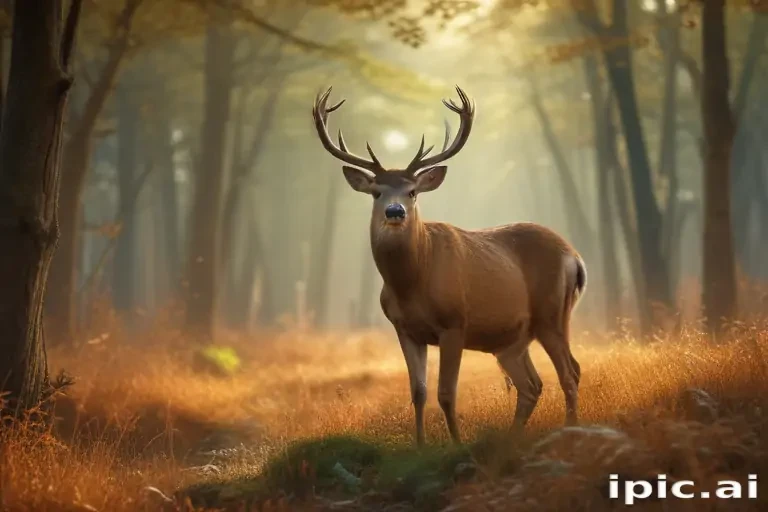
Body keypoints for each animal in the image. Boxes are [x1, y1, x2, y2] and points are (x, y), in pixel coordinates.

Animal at [311, 85, 587, 446]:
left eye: (413, 191)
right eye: (376, 192)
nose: (395, 212)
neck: (413, 281)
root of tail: (575, 256)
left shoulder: (454, 322)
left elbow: (446, 393)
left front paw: (456, 444)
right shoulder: (404, 328)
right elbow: (418, 392)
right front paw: (420, 446)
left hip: (552, 312)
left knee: (570, 372)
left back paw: (571, 432)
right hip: (513, 339)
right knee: (532, 384)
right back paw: (511, 438)